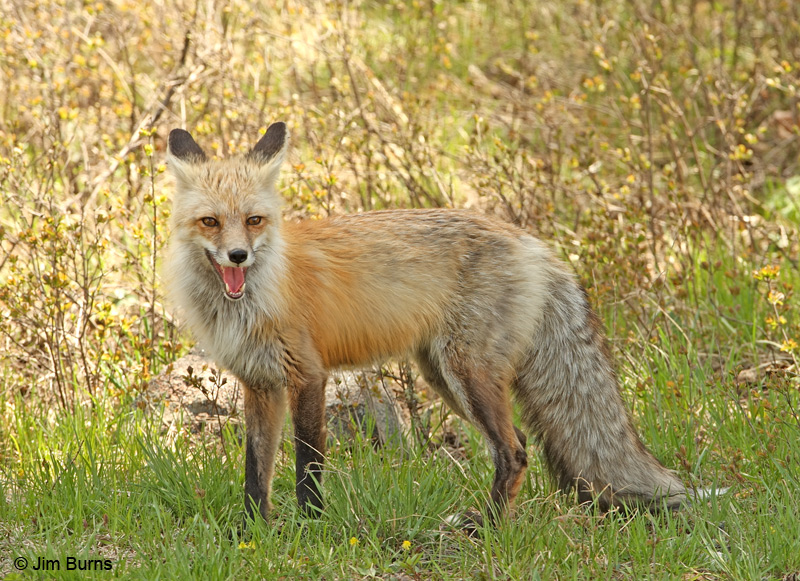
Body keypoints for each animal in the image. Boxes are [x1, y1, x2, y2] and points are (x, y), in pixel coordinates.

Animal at [164, 122, 687, 529]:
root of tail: (532, 242)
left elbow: (307, 467)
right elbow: (256, 472)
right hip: (444, 377)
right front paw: (252, 531)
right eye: (210, 222)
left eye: (254, 220)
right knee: (517, 445)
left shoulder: (308, 375)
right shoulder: (260, 383)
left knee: (515, 450)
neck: (254, 298)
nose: (238, 256)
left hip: (468, 374)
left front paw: (310, 528)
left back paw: (487, 528)